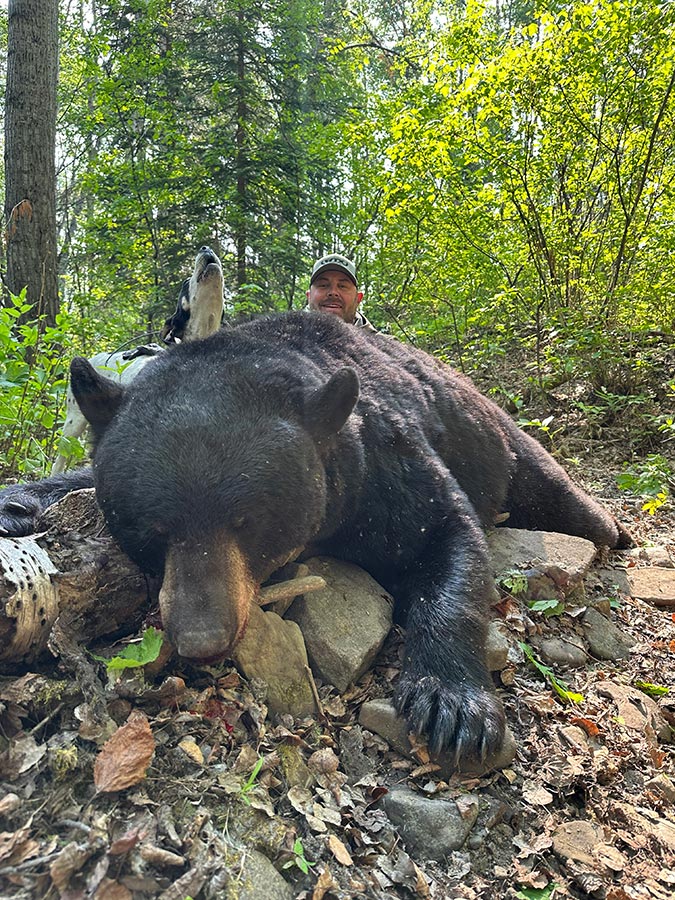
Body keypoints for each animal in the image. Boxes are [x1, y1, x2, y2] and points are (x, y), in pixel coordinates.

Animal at [0, 311, 631, 761]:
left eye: (248, 520)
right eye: (153, 528)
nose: (202, 638)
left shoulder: (384, 469)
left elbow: (449, 540)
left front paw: (451, 703)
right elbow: (74, 480)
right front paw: (18, 503)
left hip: (501, 441)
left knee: (559, 494)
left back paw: (617, 533)